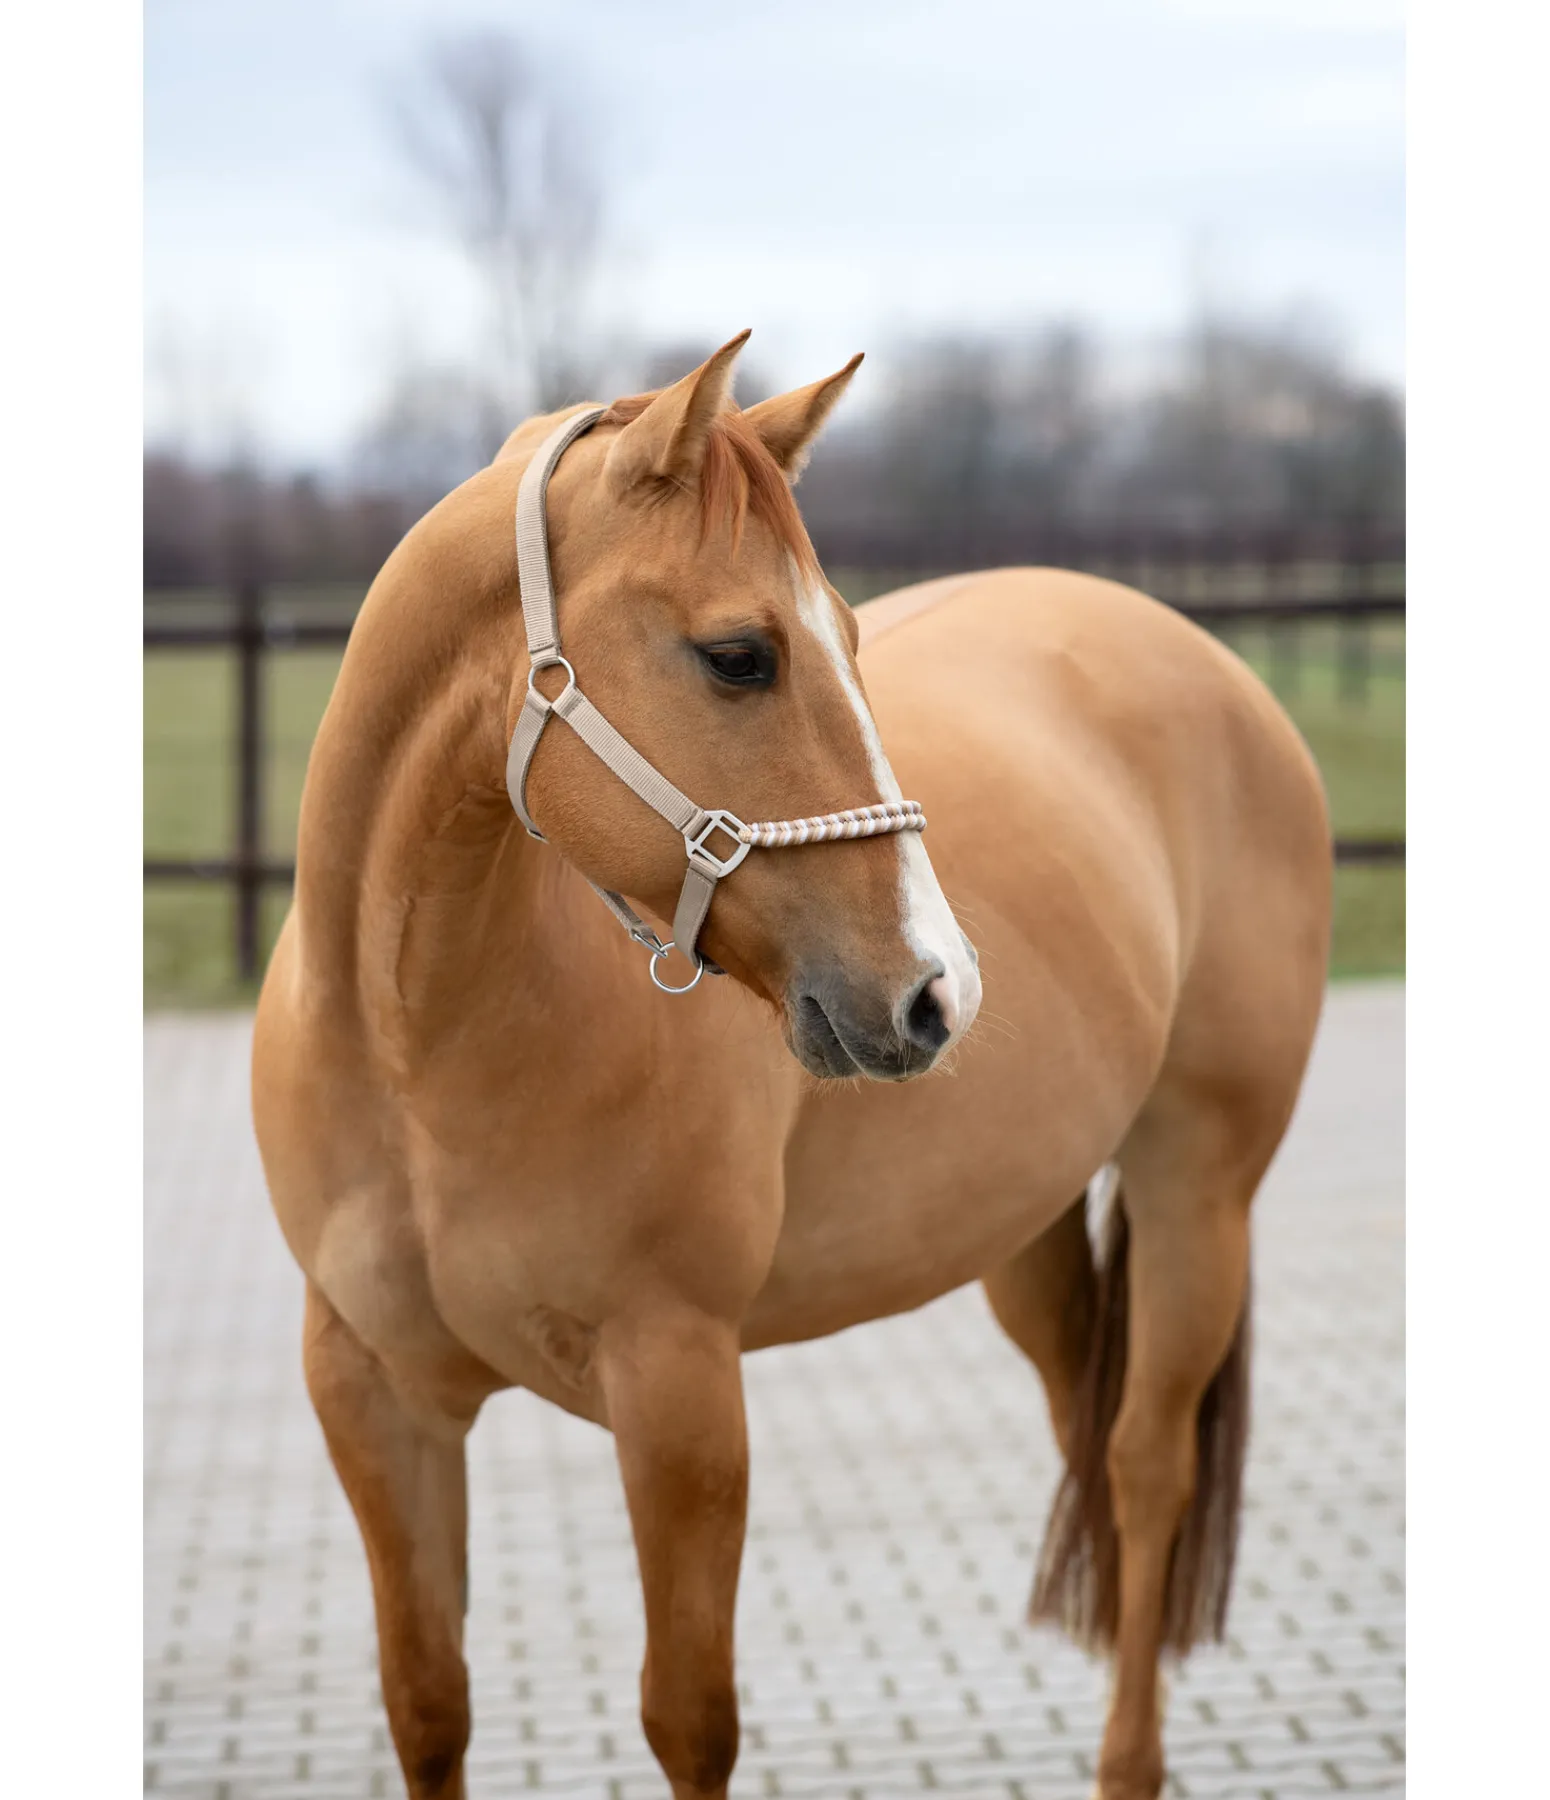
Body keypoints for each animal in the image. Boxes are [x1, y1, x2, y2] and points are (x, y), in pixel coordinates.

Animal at [252, 330, 1331, 1800]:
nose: (937, 992)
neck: (415, 1053)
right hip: (1024, 1230)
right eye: (738, 657)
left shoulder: (680, 1391)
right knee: (1088, 1450)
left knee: (1144, 1466)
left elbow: (687, 1716)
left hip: (1194, 1195)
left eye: (852, 641)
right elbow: (425, 1702)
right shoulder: (370, 1396)